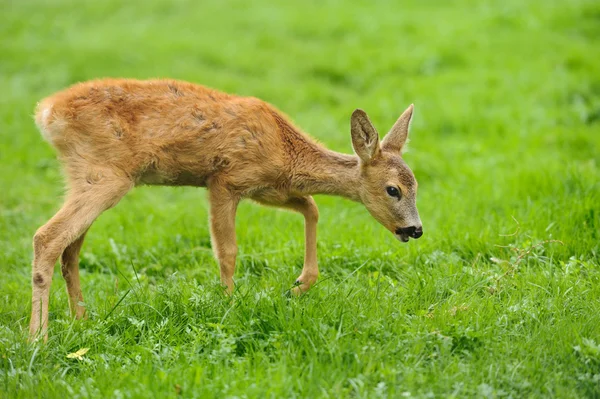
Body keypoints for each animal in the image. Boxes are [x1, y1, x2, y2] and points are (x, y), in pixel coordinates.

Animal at [28, 78, 422, 340]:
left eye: (417, 185)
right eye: (394, 190)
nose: (415, 229)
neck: (285, 148)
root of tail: (46, 112)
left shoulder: (268, 187)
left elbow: (311, 207)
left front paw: (297, 286)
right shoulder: (226, 180)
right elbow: (227, 251)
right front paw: (230, 306)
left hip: (84, 176)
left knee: (70, 249)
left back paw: (80, 321)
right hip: (106, 175)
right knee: (47, 237)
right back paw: (38, 338)